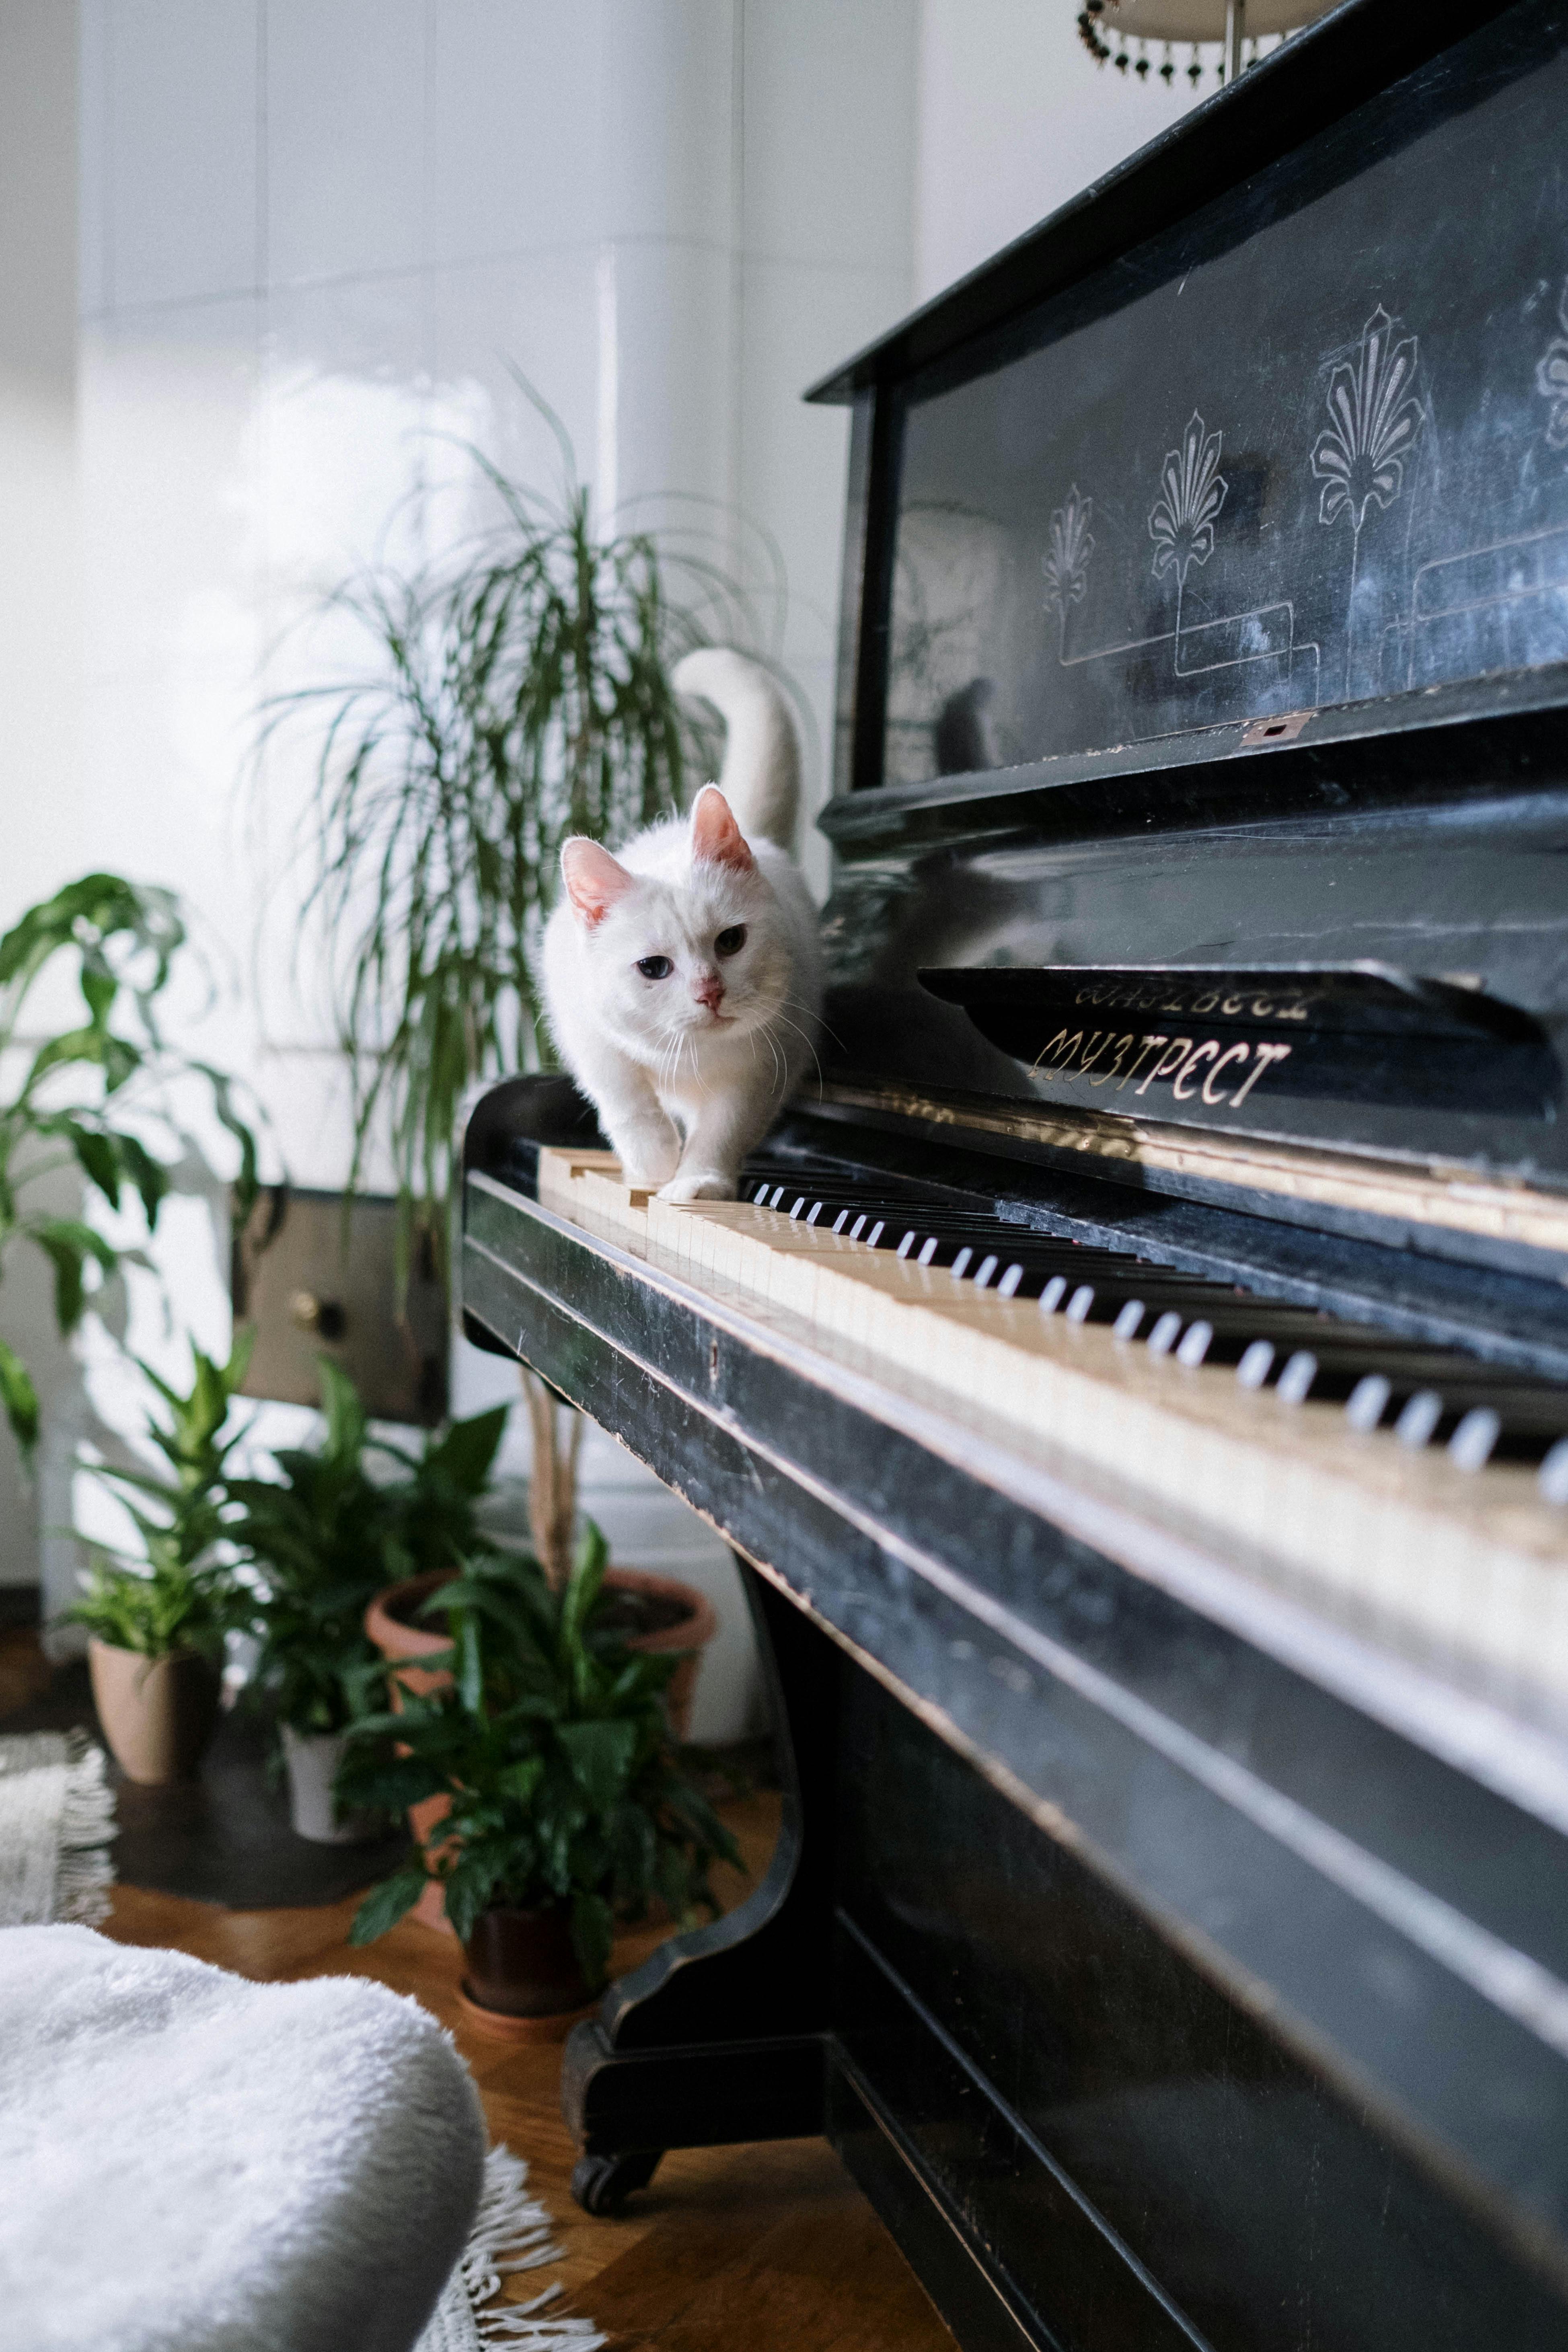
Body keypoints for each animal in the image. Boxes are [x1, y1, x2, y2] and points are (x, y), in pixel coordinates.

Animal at [543, 654, 827, 1204]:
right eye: (653, 967)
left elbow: (724, 1129)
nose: (710, 991)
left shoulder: (761, 1069)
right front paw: (652, 1162)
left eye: (731, 941)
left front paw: (697, 1181)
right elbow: (624, 1094)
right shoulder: (582, 1026)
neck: (695, 1057)